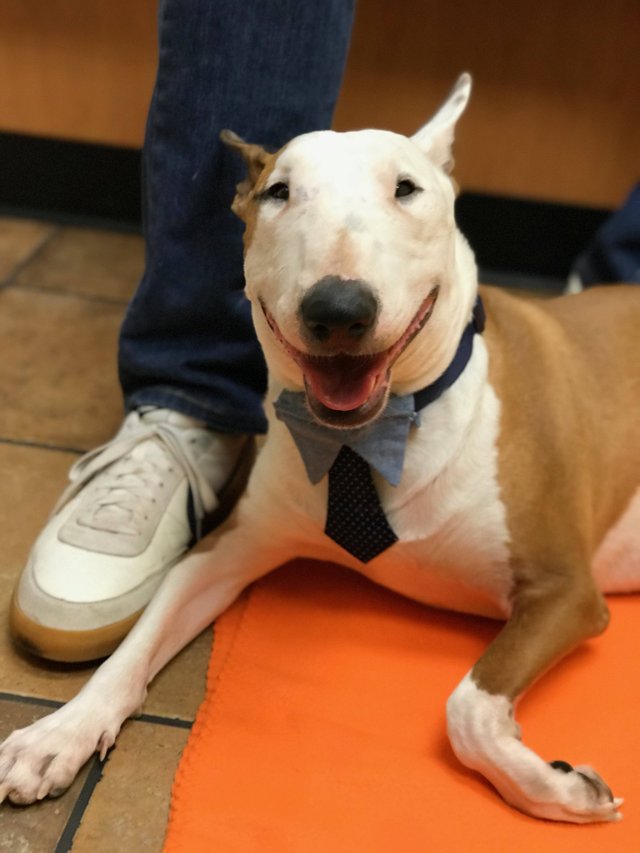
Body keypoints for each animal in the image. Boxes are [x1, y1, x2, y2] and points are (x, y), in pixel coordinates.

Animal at [1, 76, 640, 824]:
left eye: (406, 188)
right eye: (278, 192)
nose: (338, 310)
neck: (364, 440)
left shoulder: (564, 589)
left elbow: (468, 708)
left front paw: (561, 789)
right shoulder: (231, 546)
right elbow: (135, 643)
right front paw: (59, 733)